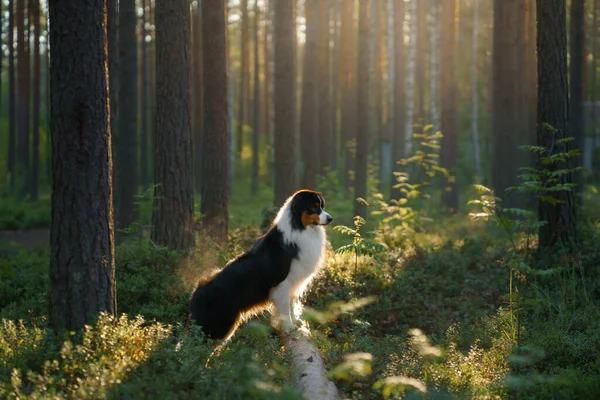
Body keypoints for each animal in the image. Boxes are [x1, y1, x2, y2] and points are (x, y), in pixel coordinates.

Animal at [188, 189, 332, 340]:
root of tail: (194, 295)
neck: (300, 228)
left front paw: (296, 322)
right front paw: (288, 327)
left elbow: (292, 303)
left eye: (322, 205)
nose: (330, 218)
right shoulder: (282, 283)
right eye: (314, 207)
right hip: (220, 327)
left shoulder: (294, 282)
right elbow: (285, 308)